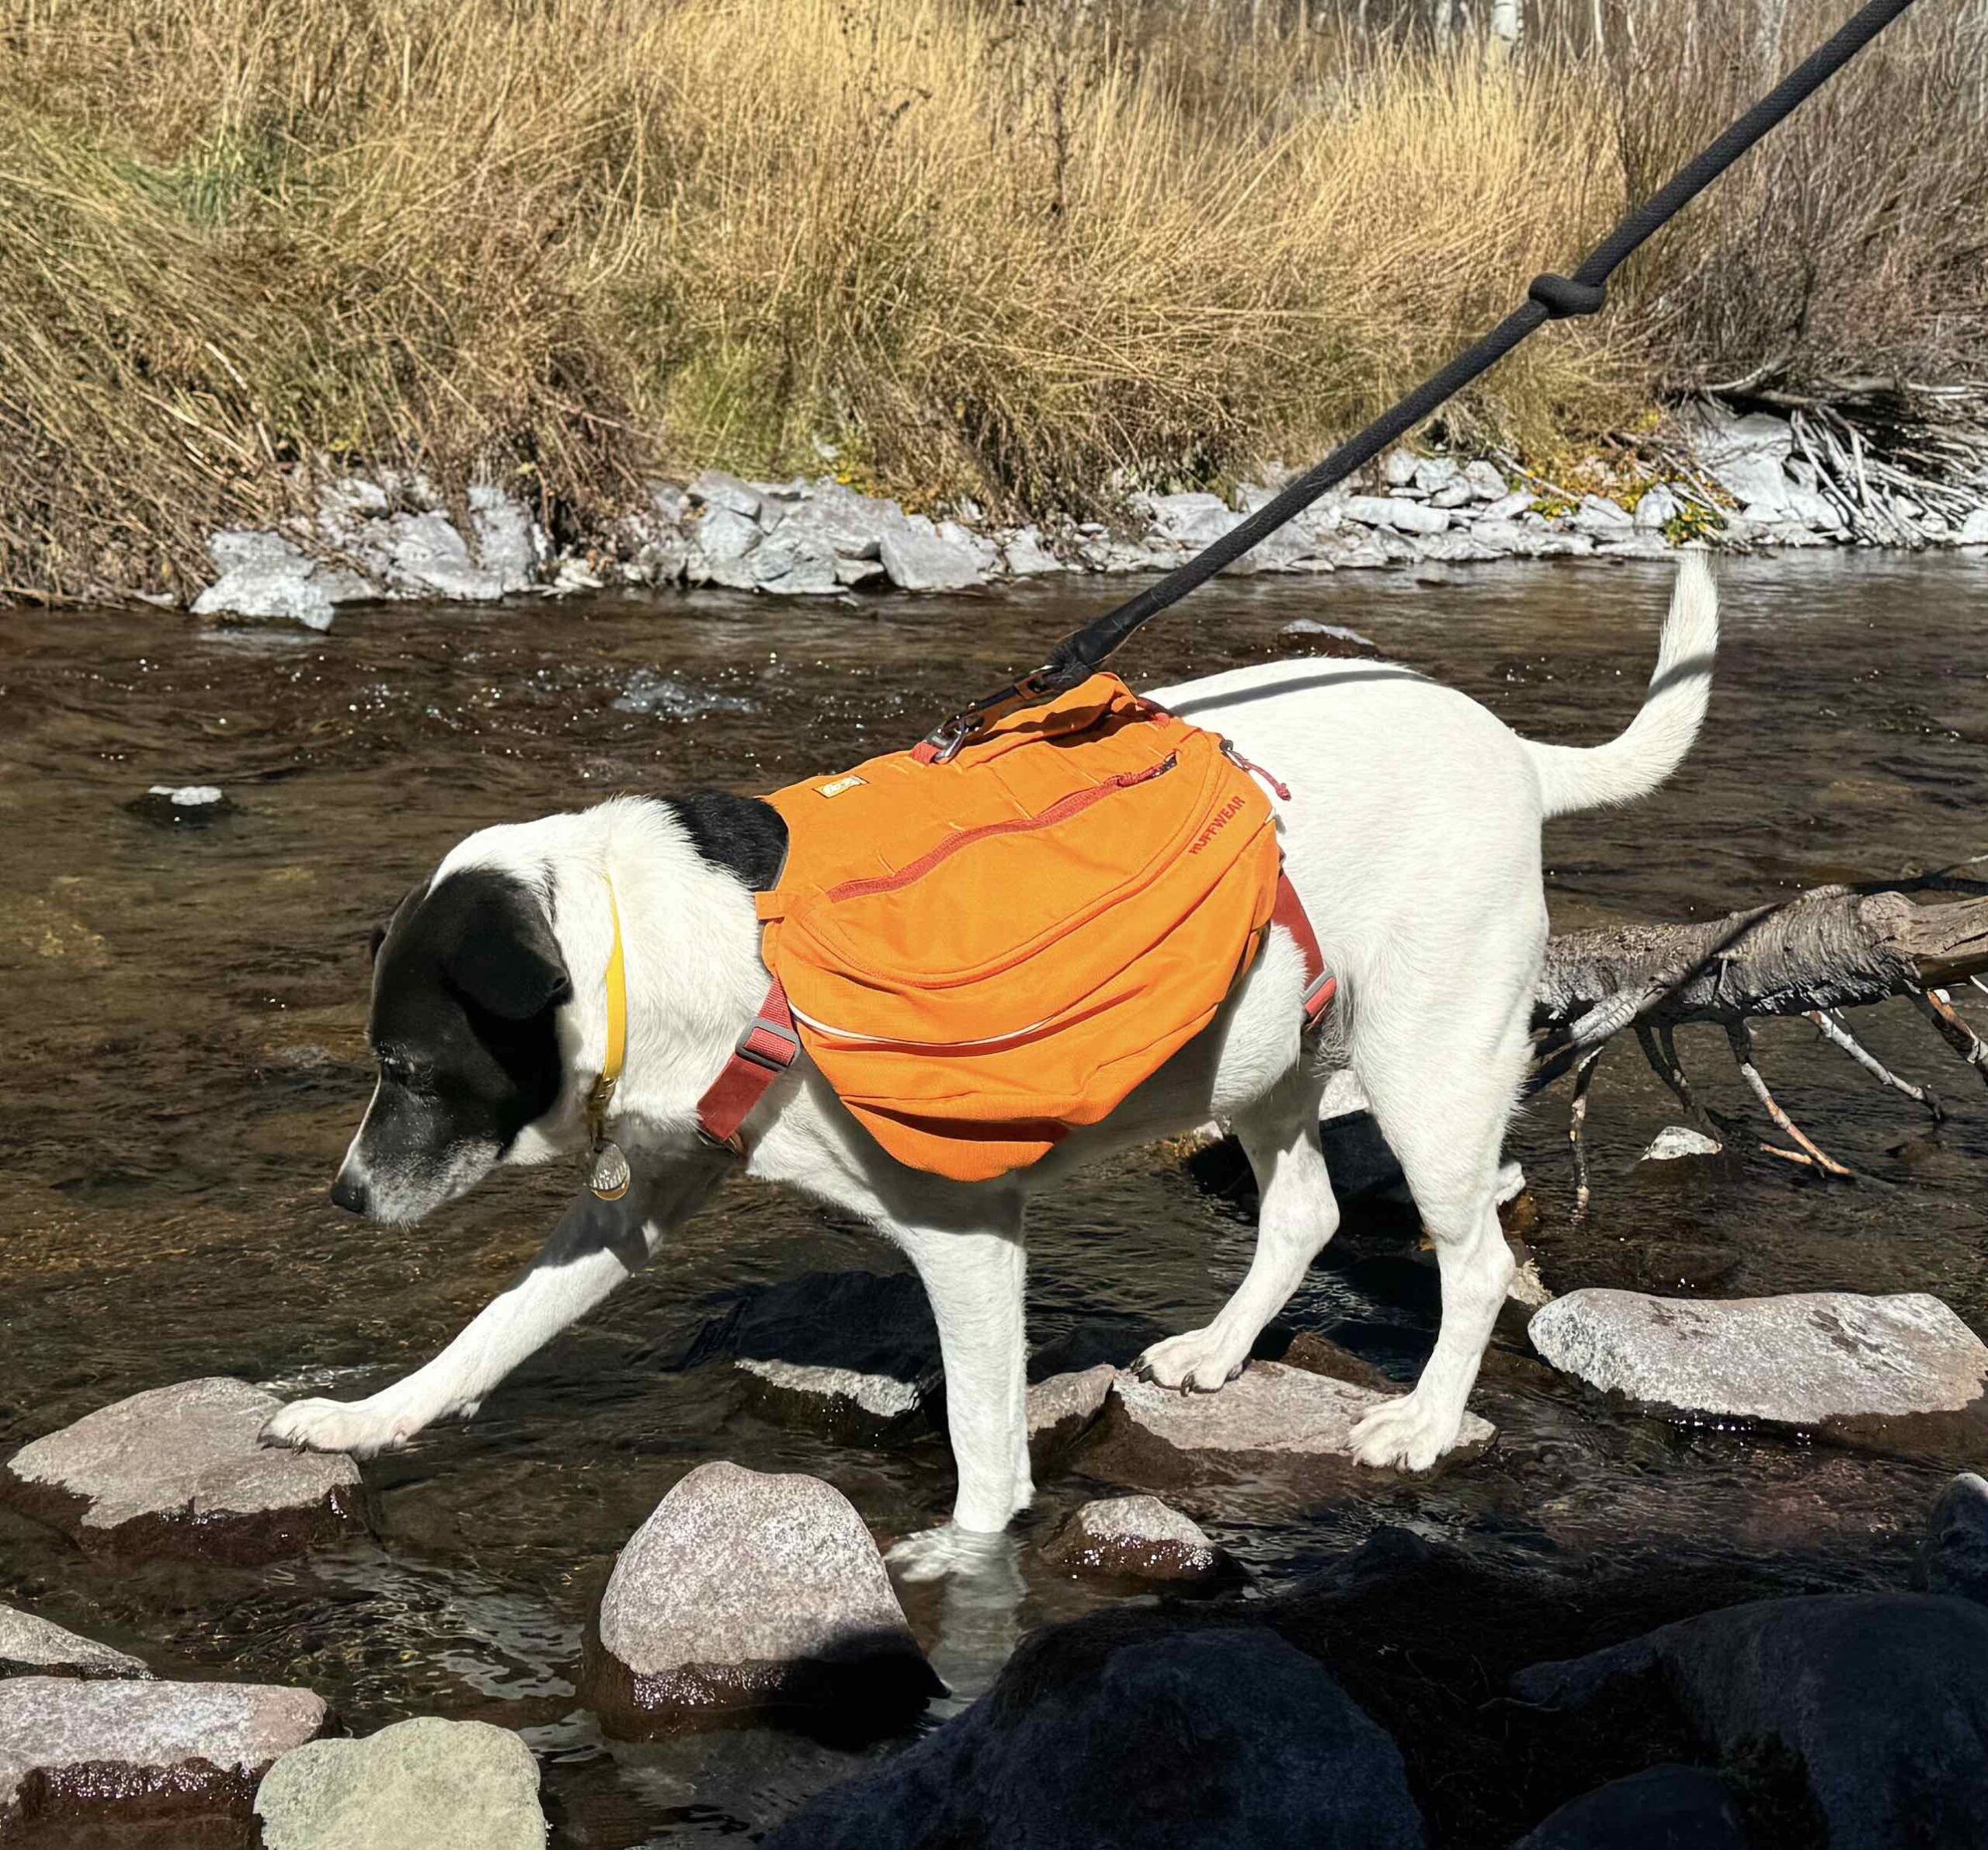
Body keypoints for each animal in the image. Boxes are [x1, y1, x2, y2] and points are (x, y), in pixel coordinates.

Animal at [264, 553, 1717, 1575]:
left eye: (411, 1066)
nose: (341, 1196)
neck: (655, 936)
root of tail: (1509, 750)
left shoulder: (966, 1233)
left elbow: (980, 1434)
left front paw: (967, 1557)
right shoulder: (648, 1194)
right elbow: (489, 1331)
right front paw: (363, 1418)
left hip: (1429, 1064)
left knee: (1473, 1260)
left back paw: (1419, 1420)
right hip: (1259, 1051)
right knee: (1304, 1209)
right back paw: (1220, 1349)